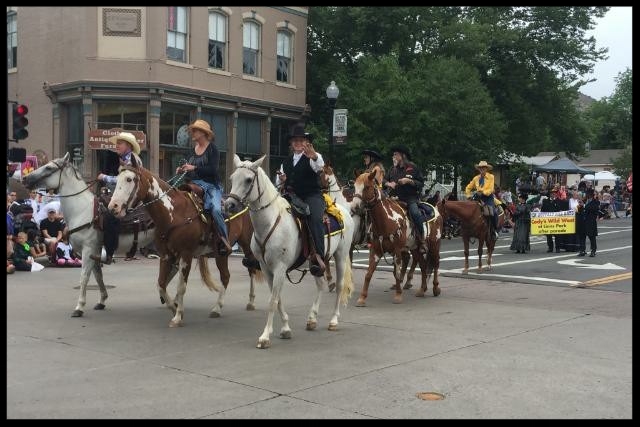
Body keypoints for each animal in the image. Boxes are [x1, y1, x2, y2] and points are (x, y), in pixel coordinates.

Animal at [24, 154, 157, 318]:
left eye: (49, 167)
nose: (25, 178)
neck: (81, 210)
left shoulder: (88, 249)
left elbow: (84, 277)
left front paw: (79, 307)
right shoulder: (94, 250)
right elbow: (98, 275)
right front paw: (102, 300)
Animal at [224, 155, 356, 350]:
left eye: (248, 179)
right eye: (233, 178)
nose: (229, 205)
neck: (271, 222)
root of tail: (342, 209)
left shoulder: (279, 268)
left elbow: (272, 300)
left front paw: (265, 336)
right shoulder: (266, 268)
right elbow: (277, 298)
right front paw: (285, 328)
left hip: (340, 256)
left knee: (339, 286)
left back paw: (333, 321)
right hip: (317, 262)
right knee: (321, 285)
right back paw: (312, 318)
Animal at [348, 169, 442, 306]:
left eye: (367, 187)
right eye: (354, 186)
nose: (354, 208)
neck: (386, 220)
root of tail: (435, 209)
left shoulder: (397, 251)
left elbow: (397, 273)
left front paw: (398, 295)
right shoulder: (375, 250)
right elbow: (368, 274)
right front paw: (362, 298)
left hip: (435, 244)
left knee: (435, 264)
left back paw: (435, 288)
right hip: (415, 248)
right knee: (423, 265)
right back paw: (422, 290)